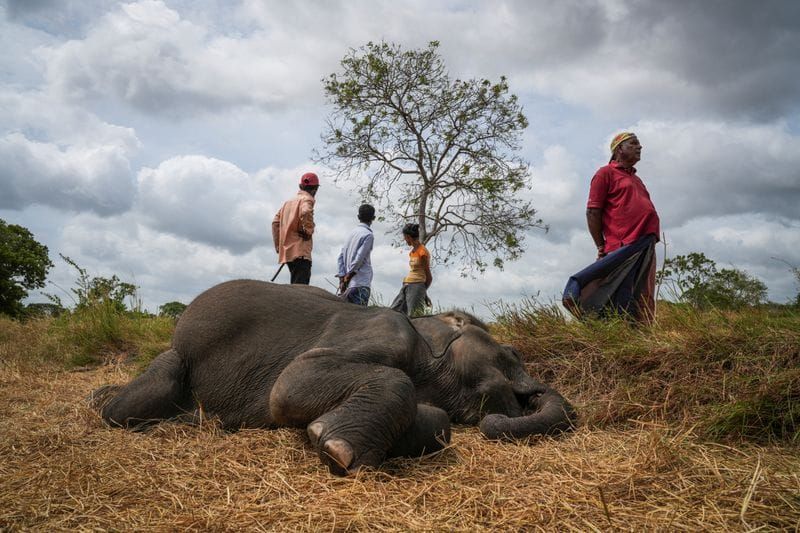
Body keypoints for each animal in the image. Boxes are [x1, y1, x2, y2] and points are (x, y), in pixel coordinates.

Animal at [93, 280, 576, 475]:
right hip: (178, 360)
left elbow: (439, 423)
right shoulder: (383, 332)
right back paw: (101, 401)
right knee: (131, 404)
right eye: (511, 353)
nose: (521, 400)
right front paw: (335, 449)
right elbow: (292, 382)